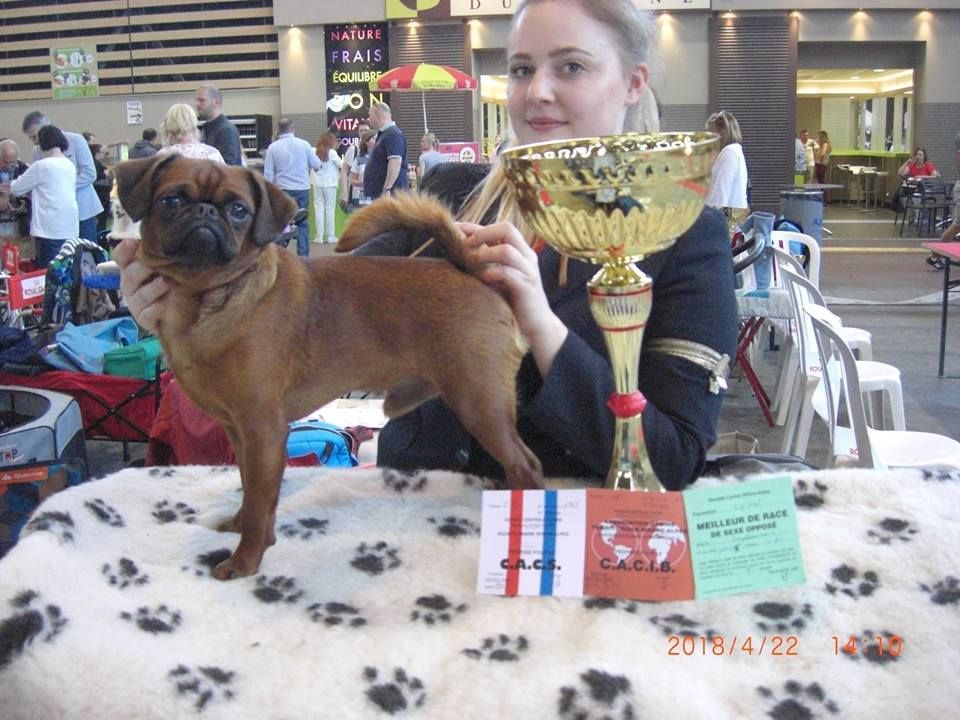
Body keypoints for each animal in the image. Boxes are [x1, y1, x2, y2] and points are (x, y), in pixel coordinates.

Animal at [114, 156, 540, 580]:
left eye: (238, 210)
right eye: (170, 201)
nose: (204, 211)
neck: (204, 296)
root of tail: (471, 272)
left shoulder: (263, 431)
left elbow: (258, 503)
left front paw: (244, 562)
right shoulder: (240, 433)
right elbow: (252, 491)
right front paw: (246, 528)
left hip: (479, 403)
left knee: (526, 464)